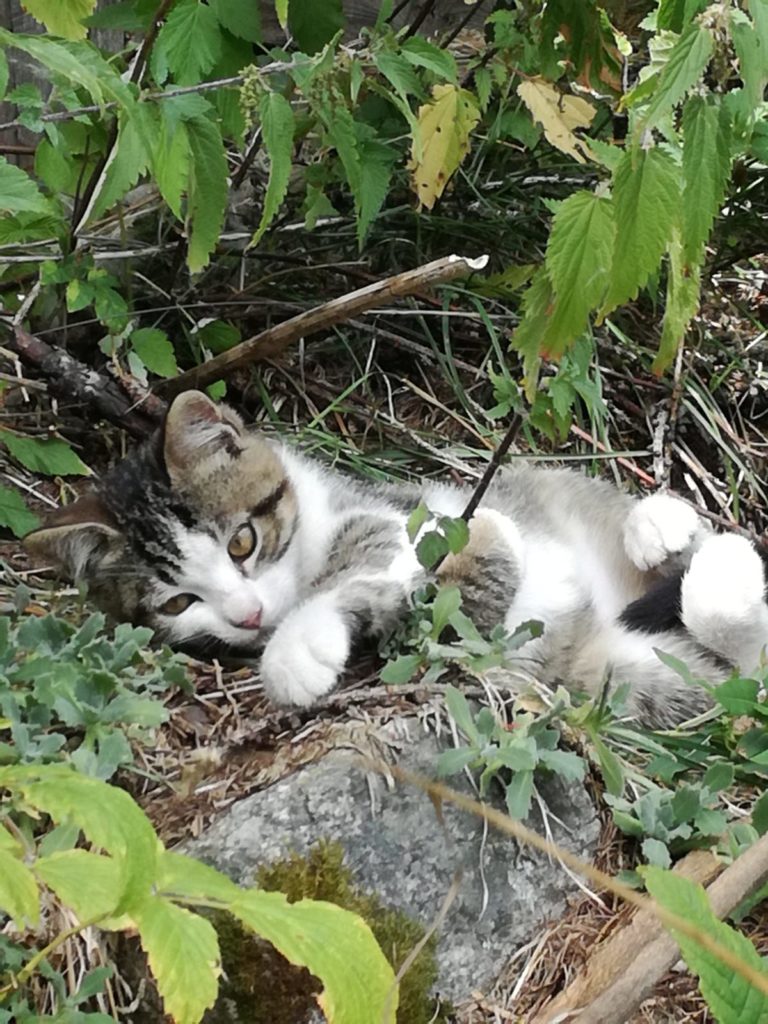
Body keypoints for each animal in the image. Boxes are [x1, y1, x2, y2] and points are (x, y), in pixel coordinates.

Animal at [22, 387, 768, 724]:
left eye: (242, 542)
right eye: (179, 601)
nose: (248, 615)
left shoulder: (389, 509)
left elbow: (375, 548)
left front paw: (294, 648)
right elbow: (441, 609)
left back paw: (668, 530)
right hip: (624, 676)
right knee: (738, 673)